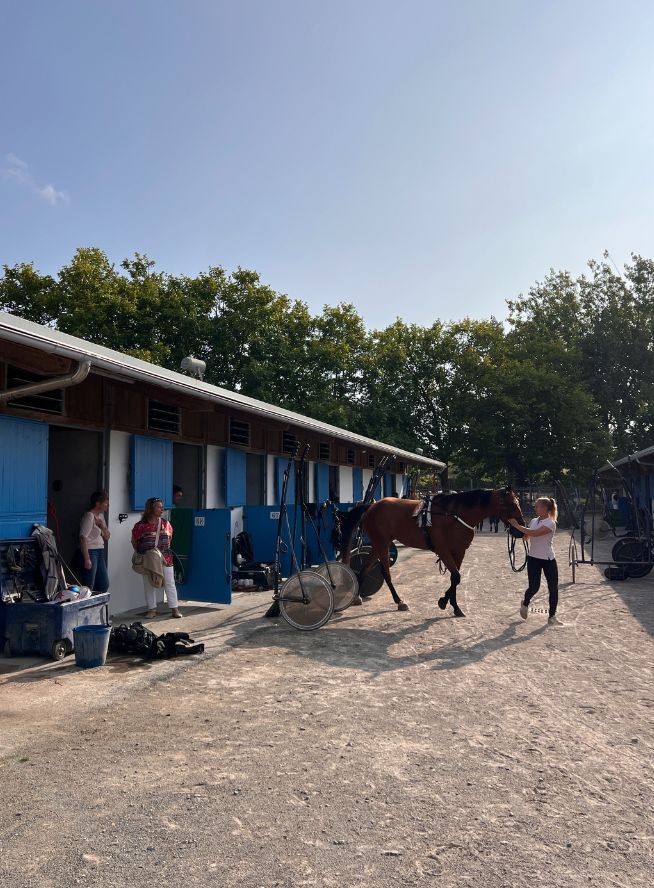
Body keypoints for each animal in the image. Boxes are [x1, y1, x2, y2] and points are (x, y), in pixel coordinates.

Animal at [339, 487, 526, 617]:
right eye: (511, 504)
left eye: (518, 503)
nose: (521, 529)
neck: (453, 515)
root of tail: (372, 506)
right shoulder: (444, 551)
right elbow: (456, 577)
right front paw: (443, 602)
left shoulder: (459, 552)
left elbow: (454, 579)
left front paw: (455, 607)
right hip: (382, 543)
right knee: (385, 572)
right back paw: (399, 601)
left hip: (379, 544)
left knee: (365, 568)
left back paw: (357, 596)